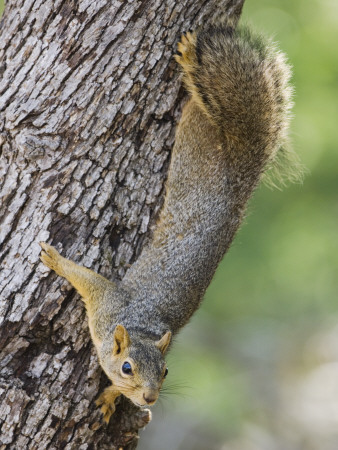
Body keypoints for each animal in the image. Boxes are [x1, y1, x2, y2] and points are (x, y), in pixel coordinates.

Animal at [41, 15, 298, 424]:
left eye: (165, 371)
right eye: (127, 366)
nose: (150, 398)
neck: (140, 327)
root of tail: (242, 170)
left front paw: (110, 397)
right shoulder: (107, 302)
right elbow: (87, 279)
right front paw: (57, 260)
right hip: (197, 133)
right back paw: (191, 55)